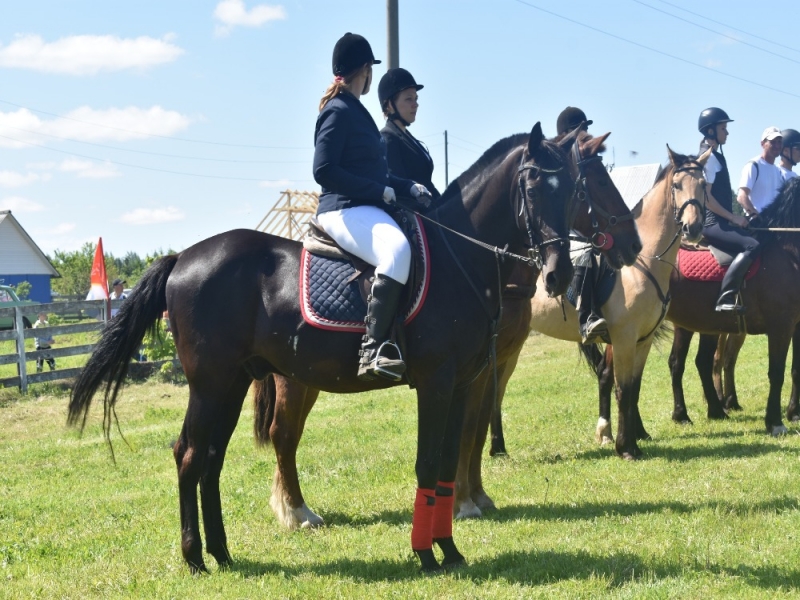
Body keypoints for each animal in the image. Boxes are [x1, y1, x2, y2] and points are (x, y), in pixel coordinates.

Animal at [69, 120, 580, 572]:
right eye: (534, 187)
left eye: (572, 189)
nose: (559, 275)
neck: (459, 259)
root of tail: (181, 259)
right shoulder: (437, 382)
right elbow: (428, 464)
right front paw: (426, 555)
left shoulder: (460, 384)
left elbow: (445, 471)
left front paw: (450, 550)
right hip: (212, 384)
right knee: (190, 455)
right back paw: (196, 557)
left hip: (232, 384)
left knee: (211, 460)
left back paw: (222, 554)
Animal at [252, 130, 644, 524]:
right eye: (591, 185)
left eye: (570, 192)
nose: (558, 274)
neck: (462, 258)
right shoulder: (445, 374)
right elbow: (463, 434)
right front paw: (463, 502)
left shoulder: (477, 370)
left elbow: (471, 431)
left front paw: (470, 498)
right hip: (292, 380)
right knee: (283, 433)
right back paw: (296, 512)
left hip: (304, 376)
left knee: (289, 433)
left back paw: (290, 506)